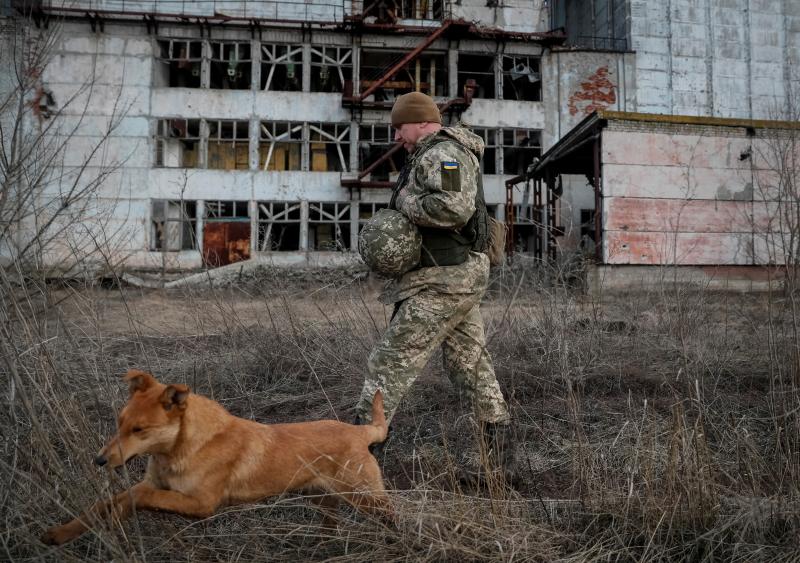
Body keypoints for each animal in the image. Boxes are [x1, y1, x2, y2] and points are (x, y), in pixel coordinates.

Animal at [42, 368, 392, 544]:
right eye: (119, 423)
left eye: (139, 430)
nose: (99, 461)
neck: (180, 449)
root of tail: (361, 432)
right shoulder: (152, 485)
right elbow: (103, 504)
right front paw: (61, 533)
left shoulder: (201, 504)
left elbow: (136, 500)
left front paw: (116, 518)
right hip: (323, 499)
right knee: (330, 528)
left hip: (367, 499)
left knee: (396, 515)